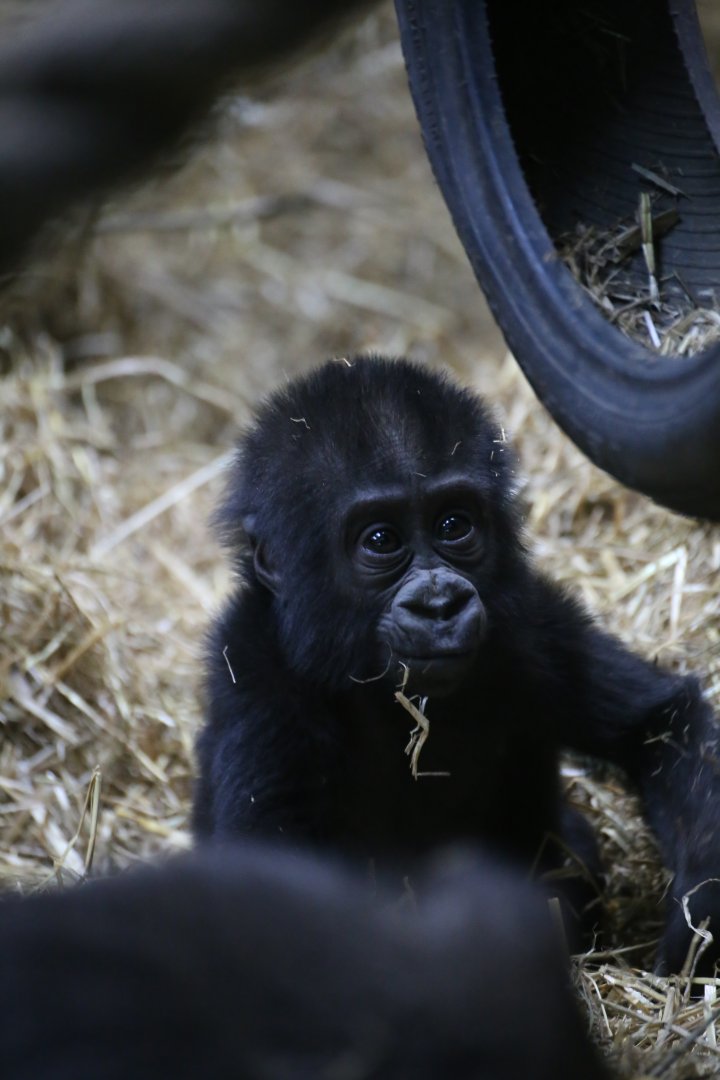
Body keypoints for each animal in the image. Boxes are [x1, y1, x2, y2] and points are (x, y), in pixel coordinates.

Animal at [193, 355, 720, 975]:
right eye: (381, 539)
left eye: (453, 526)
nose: (440, 604)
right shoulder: (257, 678)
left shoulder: (529, 620)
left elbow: (659, 724)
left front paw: (701, 913)